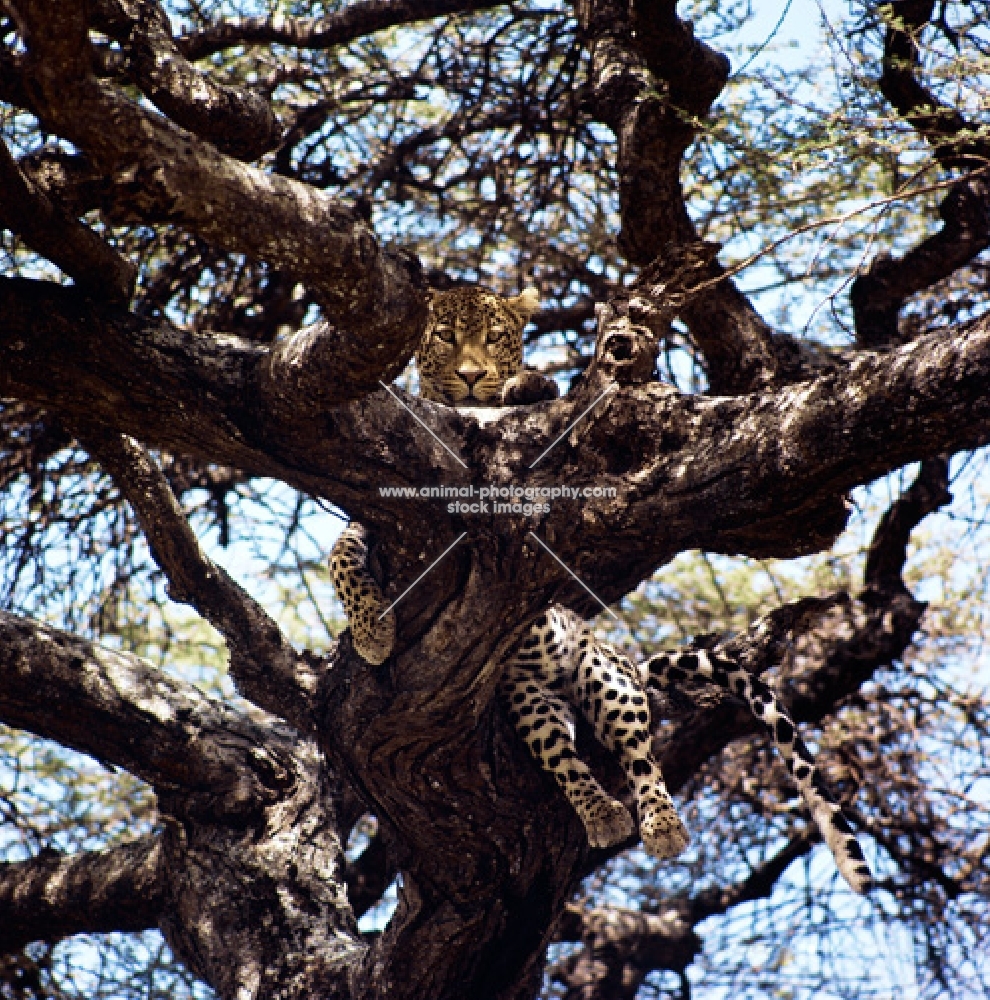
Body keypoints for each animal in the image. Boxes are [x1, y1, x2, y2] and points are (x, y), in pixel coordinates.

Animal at [330, 286, 872, 896]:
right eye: (445, 337)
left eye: (494, 338)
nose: (471, 376)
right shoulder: (366, 524)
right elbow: (341, 560)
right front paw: (371, 631)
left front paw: (526, 384)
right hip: (526, 695)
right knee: (562, 755)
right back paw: (603, 813)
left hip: (600, 672)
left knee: (639, 755)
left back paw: (661, 824)